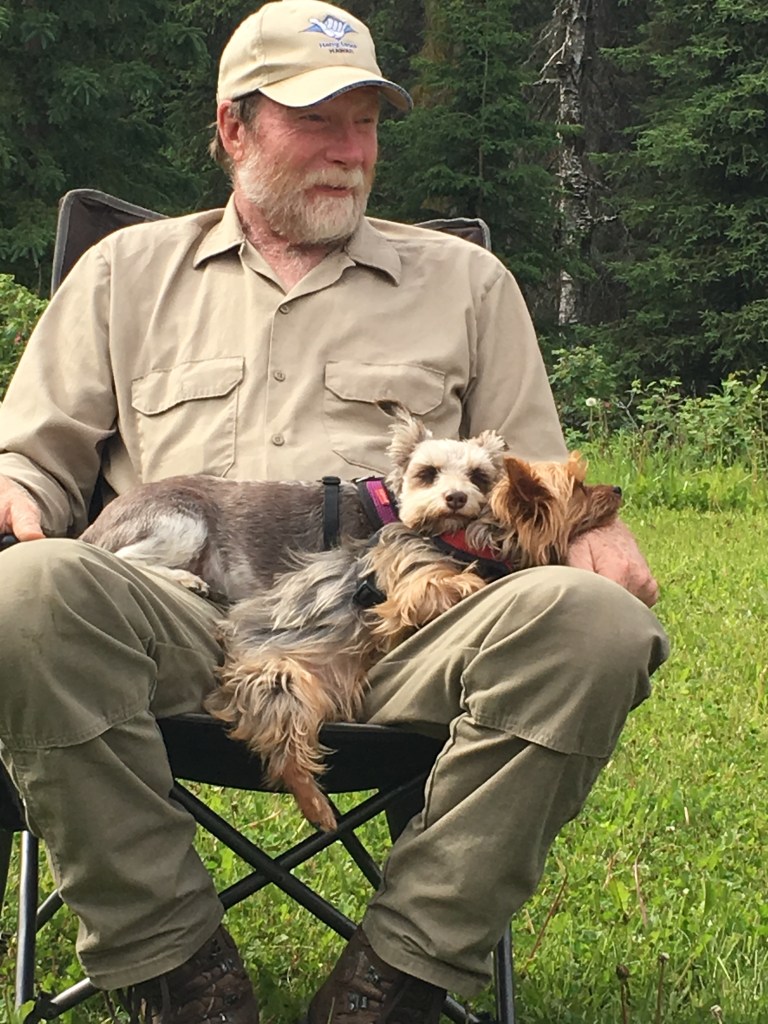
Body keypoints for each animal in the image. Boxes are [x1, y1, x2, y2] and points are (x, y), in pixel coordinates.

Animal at [80, 401, 508, 602]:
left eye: (479, 477)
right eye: (428, 472)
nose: (456, 497)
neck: (385, 509)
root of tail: (93, 529)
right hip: (182, 522)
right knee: (125, 559)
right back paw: (186, 579)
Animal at [207, 450, 623, 831]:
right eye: (580, 487)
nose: (618, 488)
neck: (470, 539)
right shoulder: (410, 589)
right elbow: (457, 584)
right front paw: (477, 581)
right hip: (284, 679)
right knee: (284, 749)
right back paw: (316, 805)